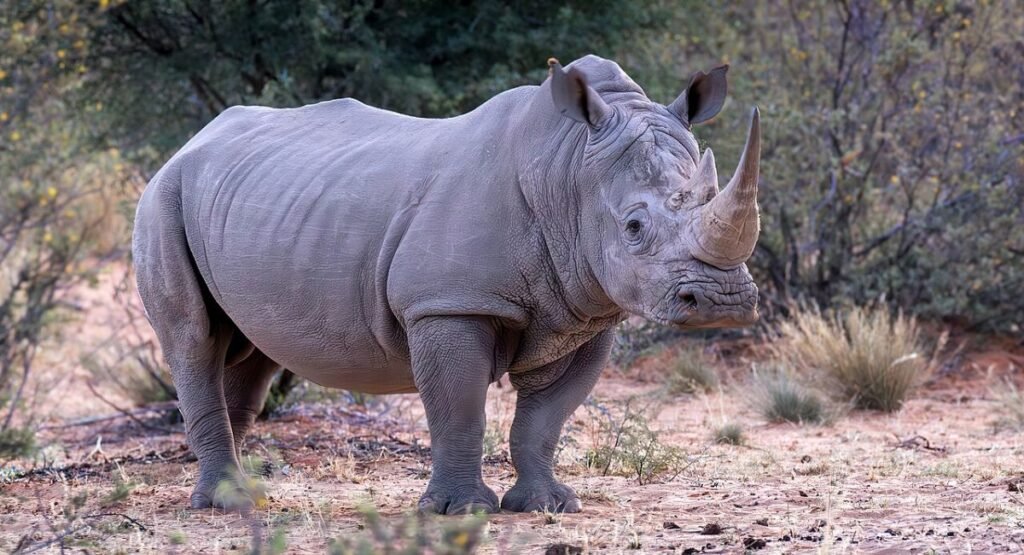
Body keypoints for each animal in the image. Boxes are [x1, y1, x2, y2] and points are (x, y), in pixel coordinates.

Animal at [133, 54, 761, 514]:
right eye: (633, 227)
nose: (723, 302)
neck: (567, 171)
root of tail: (189, 143)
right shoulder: (448, 304)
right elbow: (460, 408)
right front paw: (462, 511)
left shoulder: (587, 312)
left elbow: (545, 419)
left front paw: (548, 507)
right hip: (162, 195)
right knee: (193, 339)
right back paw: (220, 505)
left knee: (251, 351)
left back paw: (241, 496)